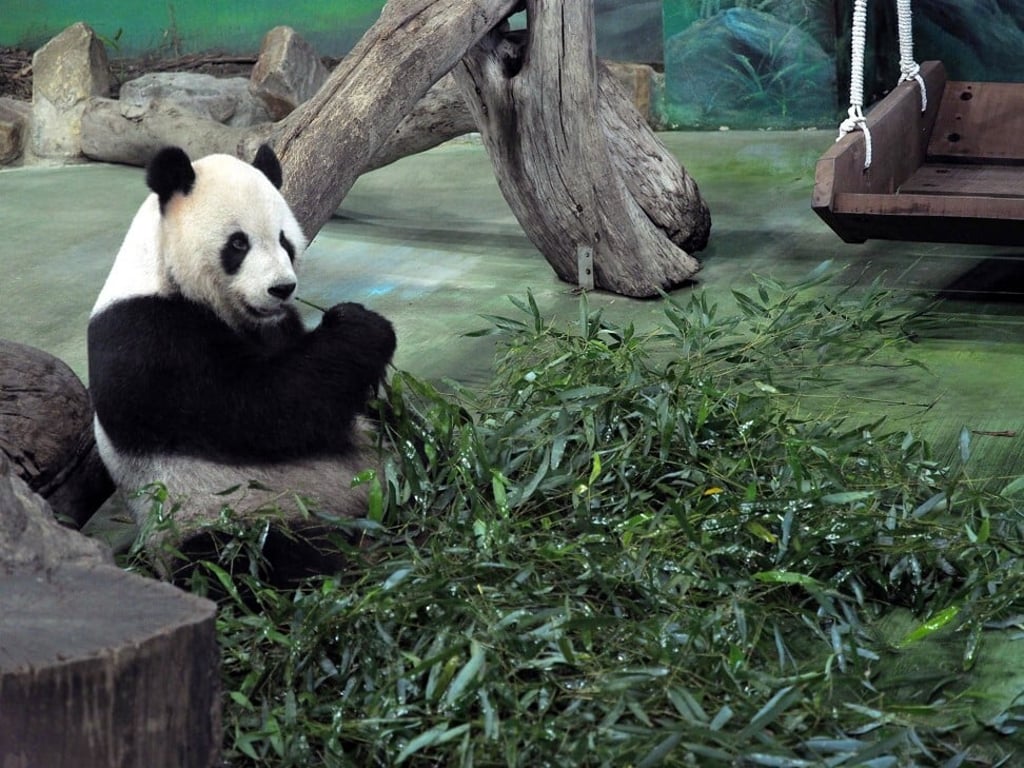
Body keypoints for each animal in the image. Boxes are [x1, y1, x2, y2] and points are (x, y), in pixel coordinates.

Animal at [88, 145, 396, 572]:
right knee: (253, 558)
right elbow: (260, 408)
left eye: (285, 240)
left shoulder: (277, 327)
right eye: (238, 244)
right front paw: (361, 327)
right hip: (226, 516)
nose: (281, 289)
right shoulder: (144, 338)